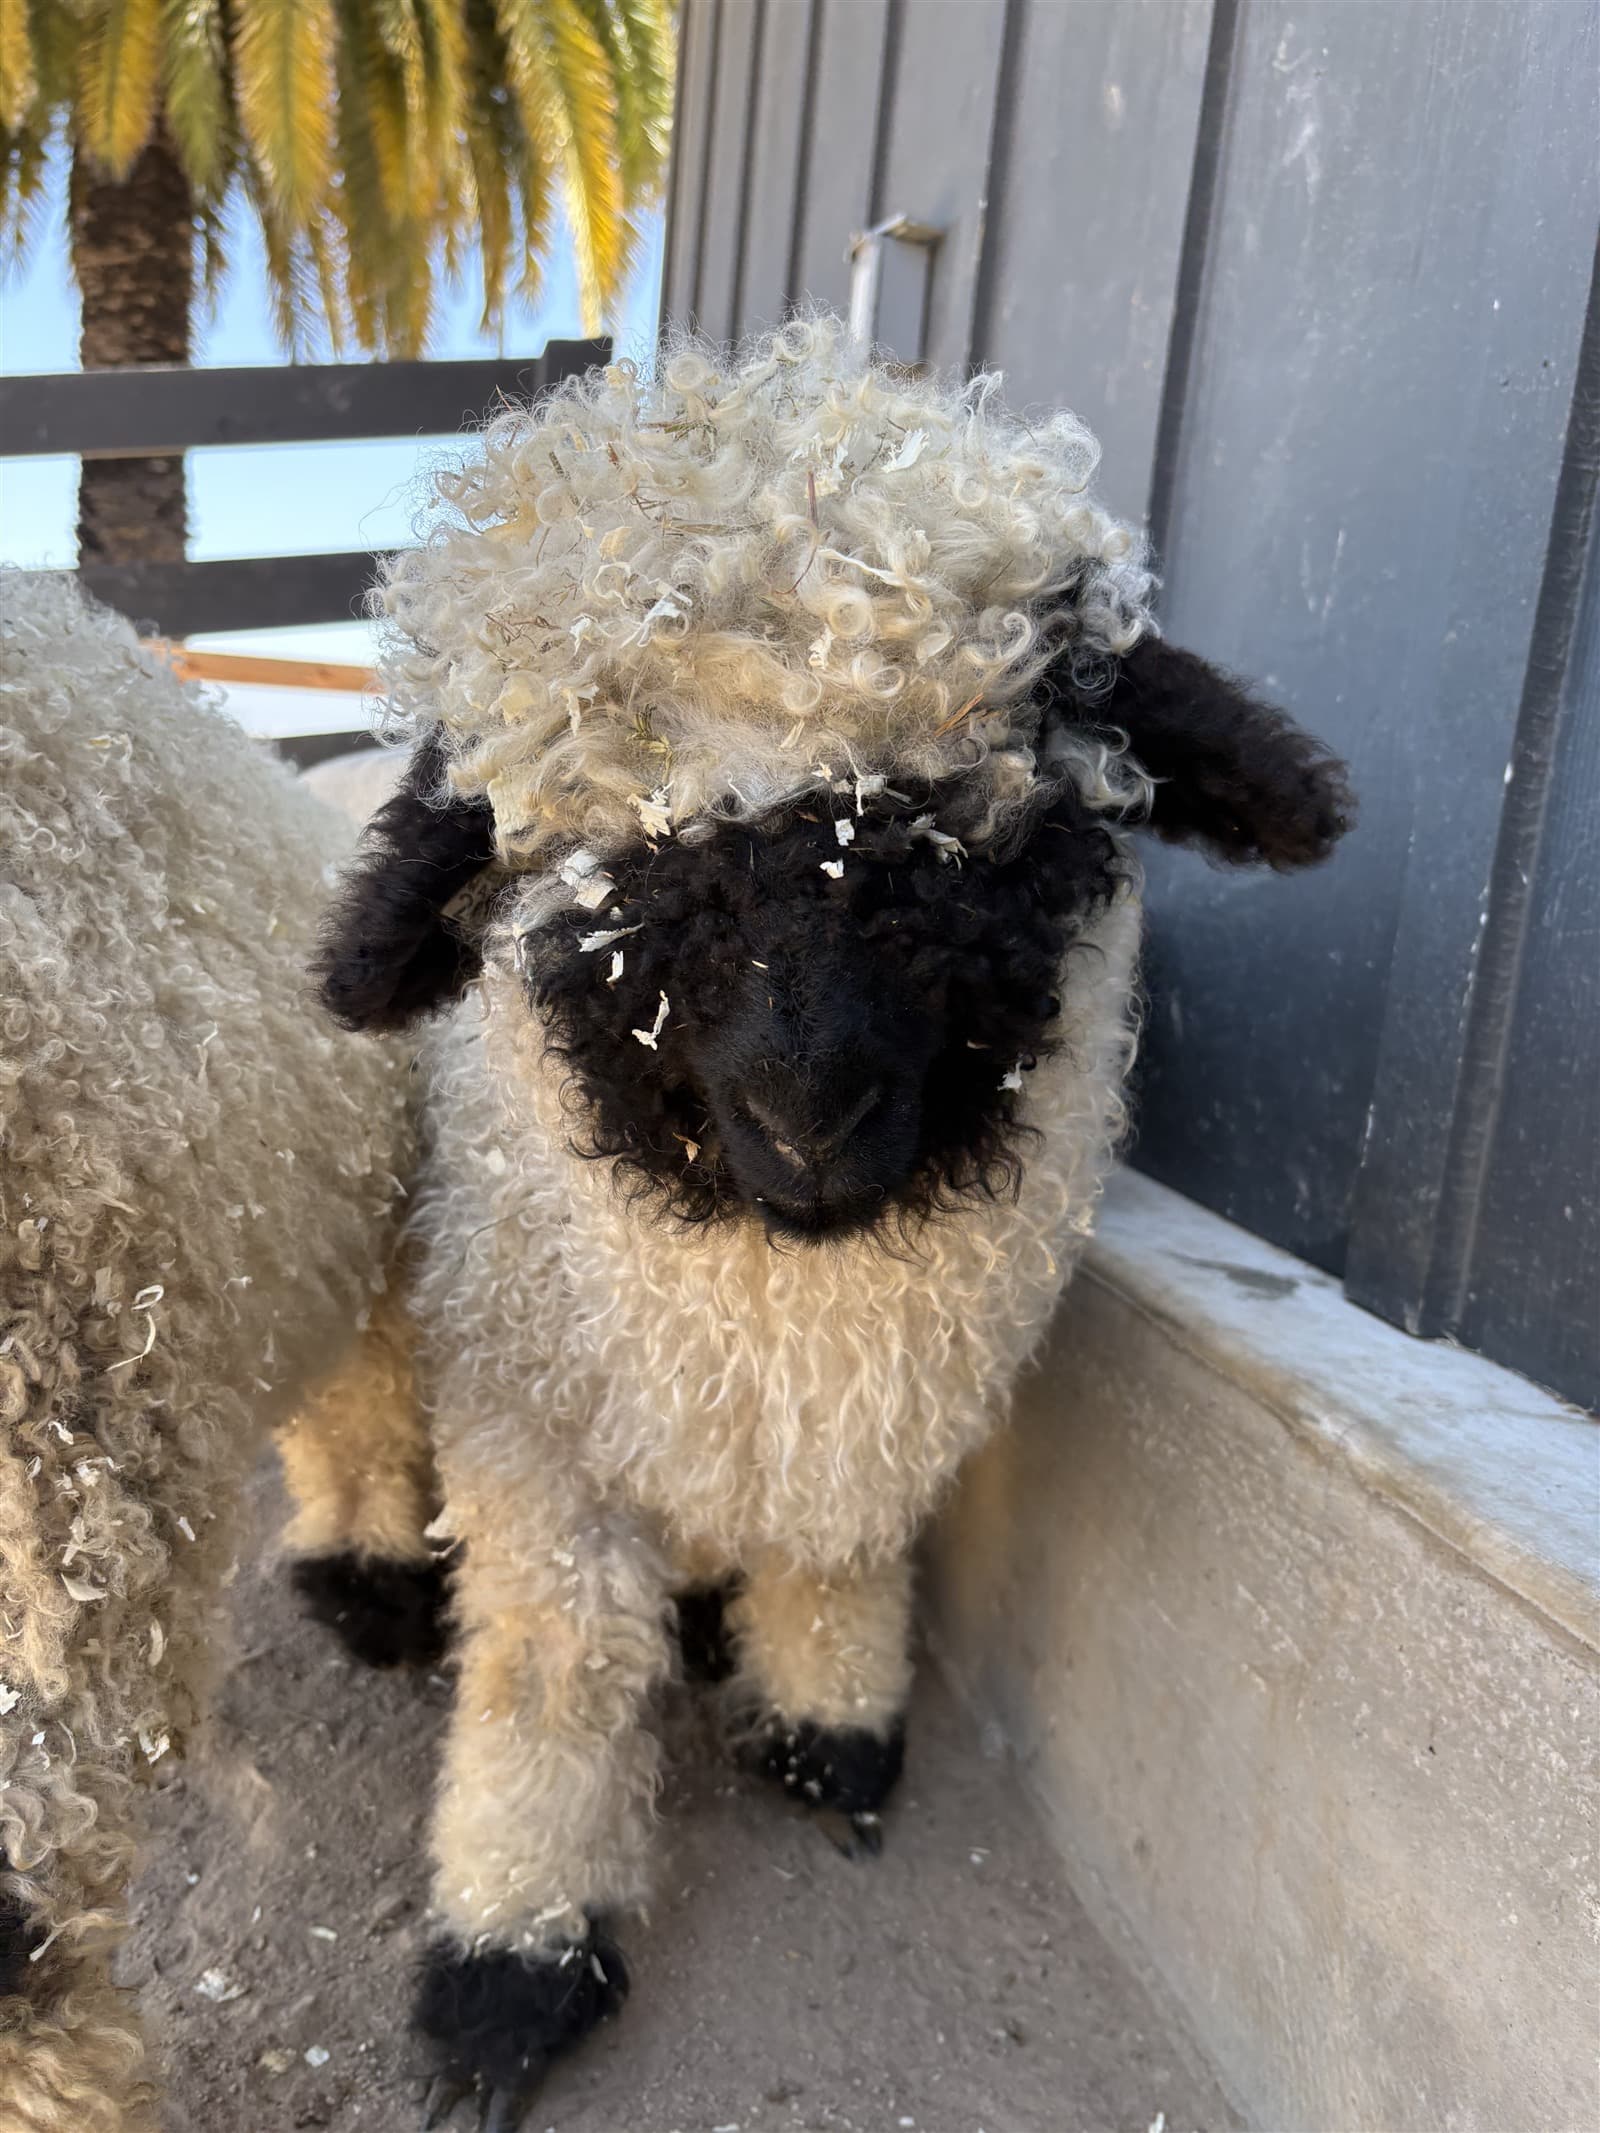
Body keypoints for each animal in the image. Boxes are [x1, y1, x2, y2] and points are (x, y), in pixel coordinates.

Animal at [301, 318, 1354, 2129]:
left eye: (973, 813)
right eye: (600, 859)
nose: (809, 1113)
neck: (783, 1311)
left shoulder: (872, 1421)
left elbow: (843, 1546)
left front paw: (831, 1717)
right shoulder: (536, 1424)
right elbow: (556, 1665)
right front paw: (515, 1947)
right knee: (357, 1401)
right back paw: (366, 1576)